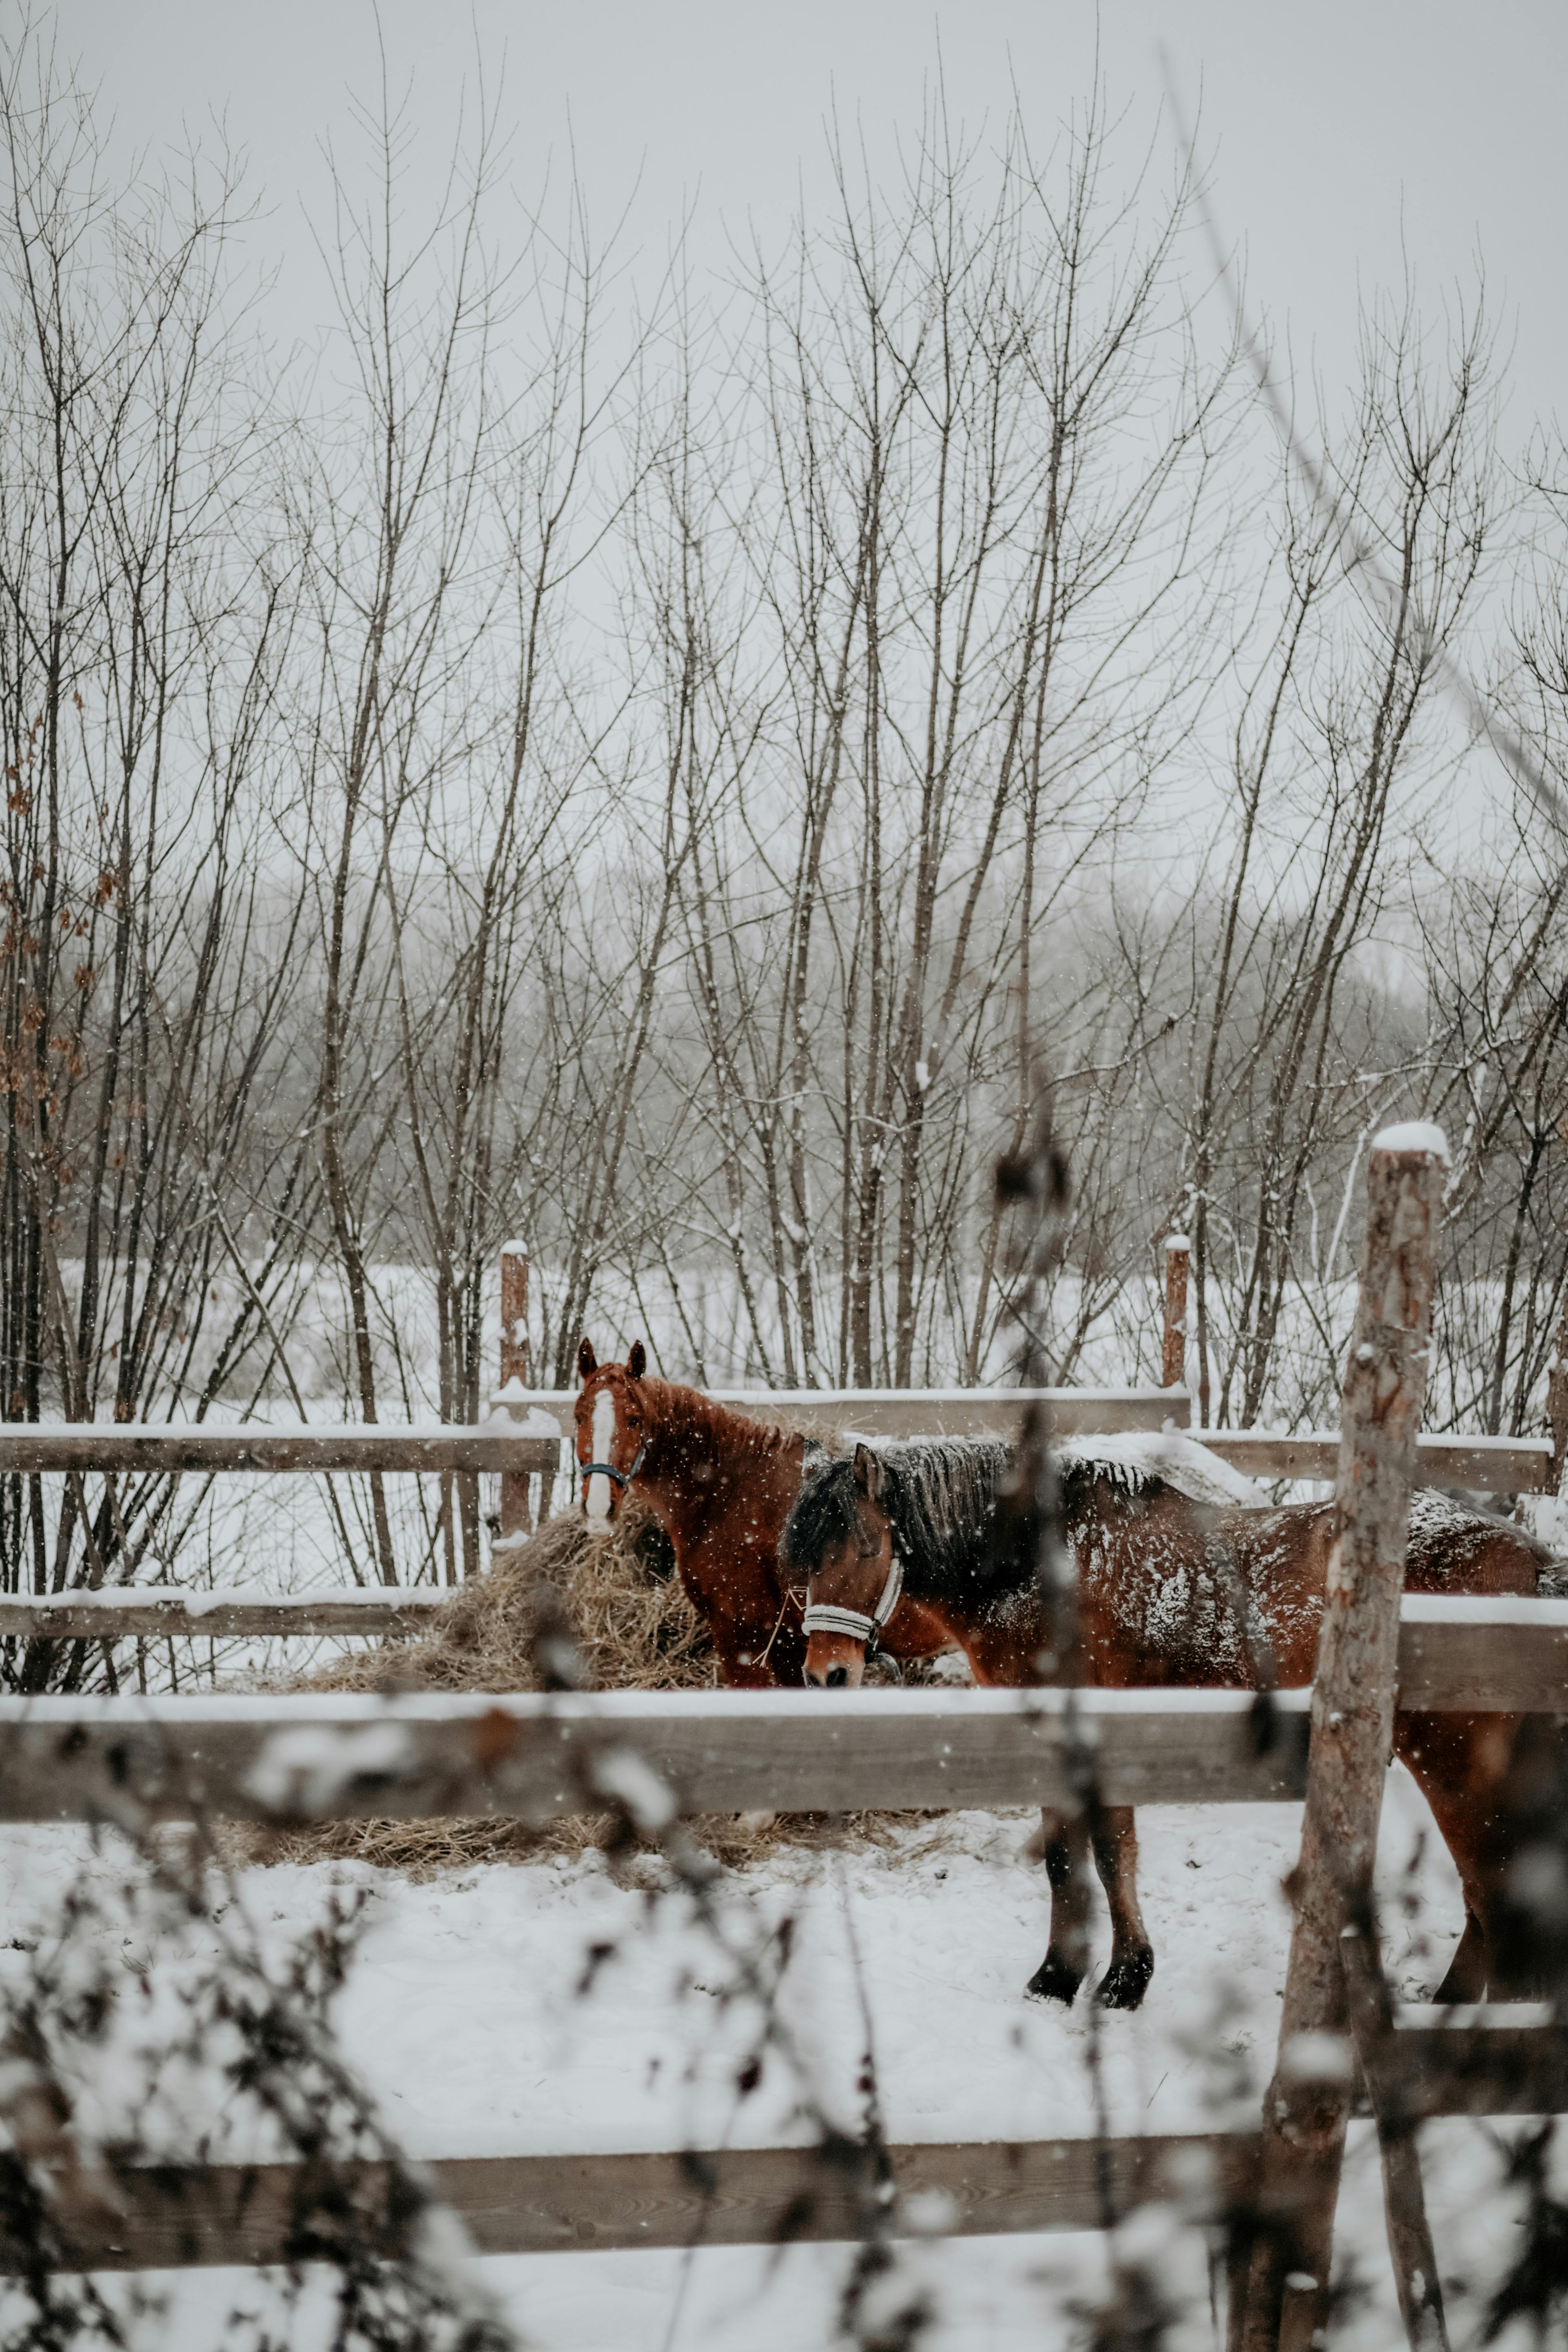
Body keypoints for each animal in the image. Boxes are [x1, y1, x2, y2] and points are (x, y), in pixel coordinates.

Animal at [570, 1340, 955, 1689]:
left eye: (634, 1420)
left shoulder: (742, 1640)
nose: (598, 1506)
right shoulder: (789, 1649)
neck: (731, 1491)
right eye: (578, 1417)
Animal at [777, 1430, 1560, 2009]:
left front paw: (1116, 1980)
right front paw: (1067, 1978)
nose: (825, 1674)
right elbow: (1075, 1859)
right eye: (806, 1560)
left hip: (1455, 1767)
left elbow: (1103, 1853)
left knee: (1491, 1895)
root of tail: (1532, 1561)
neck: (1044, 1566)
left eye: (867, 1546)